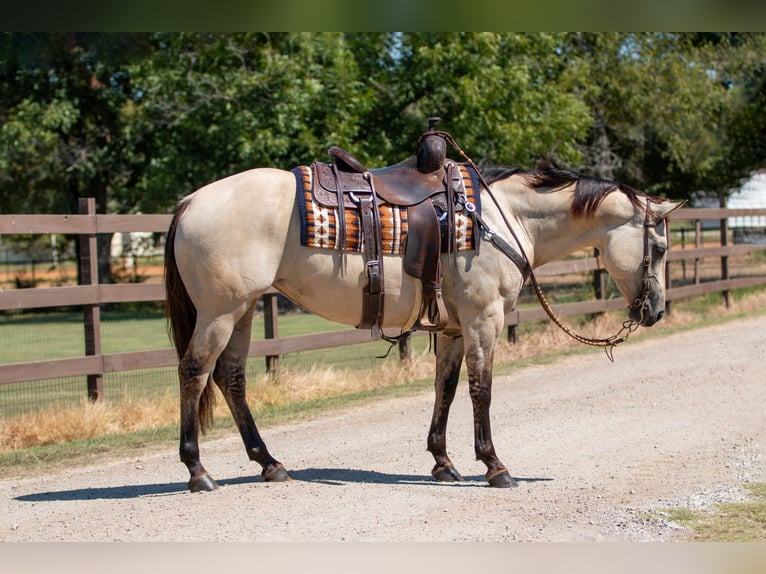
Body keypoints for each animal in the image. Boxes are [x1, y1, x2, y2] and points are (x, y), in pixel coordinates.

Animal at [165, 132, 688, 496]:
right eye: (661, 247)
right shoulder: (483, 319)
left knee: (232, 378)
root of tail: (190, 202)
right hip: (220, 311)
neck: (500, 218)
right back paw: (198, 470)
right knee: (194, 372)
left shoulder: (455, 325)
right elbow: (481, 389)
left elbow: (447, 388)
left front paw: (443, 462)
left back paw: (269, 463)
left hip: (243, 309)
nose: (656, 311)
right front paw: (494, 466)